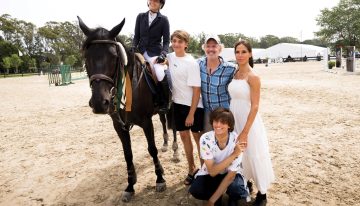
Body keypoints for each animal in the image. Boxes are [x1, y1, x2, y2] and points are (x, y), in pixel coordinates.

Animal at [79, 16, 180, 203]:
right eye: (86, 57)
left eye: (114, 57)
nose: (99, 103)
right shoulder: (119, 126)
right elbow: (128, 154)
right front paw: (130, 186)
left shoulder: (146, 122)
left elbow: (151, 149)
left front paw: (160, 179)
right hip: (160, 111)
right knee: (164, 122)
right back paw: (165, 144)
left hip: (172, 106)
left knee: (175, 126)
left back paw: (175, 151)